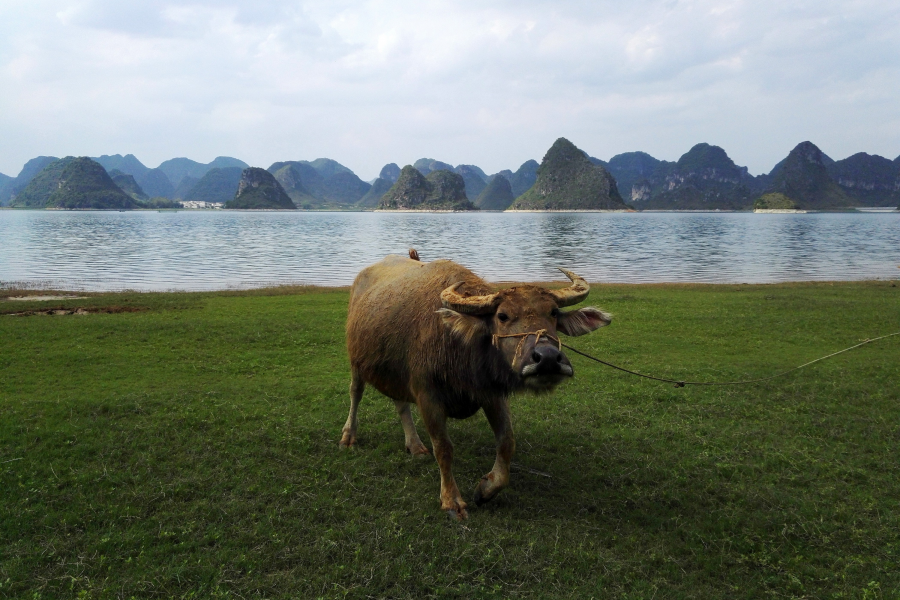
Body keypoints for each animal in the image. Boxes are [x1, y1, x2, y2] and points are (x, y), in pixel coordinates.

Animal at [342, 251, 608, 516]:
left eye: (553, 313)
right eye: (502, 316)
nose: (548, 358)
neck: (461, 345)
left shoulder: (492, 393)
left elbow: (507, 441)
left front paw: (486, 489)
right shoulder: (428, 396)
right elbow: (444, 448)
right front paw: (451, 500)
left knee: (400, 402)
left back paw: (415, 445)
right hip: (356, 362)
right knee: (356, 393)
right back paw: (348, 436)